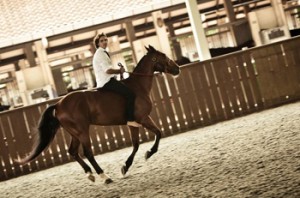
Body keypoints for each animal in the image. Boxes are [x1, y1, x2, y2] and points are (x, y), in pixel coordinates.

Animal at [16, 45, 180, 184]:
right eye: (163, 56)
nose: (177, 68)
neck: (138, 86)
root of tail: (59, 104)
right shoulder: (144, 119)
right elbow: (158, 133)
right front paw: (149, 153)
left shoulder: (134, 124)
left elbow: (136, 145)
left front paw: (125, 167)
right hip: (82, 131)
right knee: (87, 153)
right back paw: (104, 176)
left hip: (75, 133)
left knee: (73, 152)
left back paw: (90, 174)